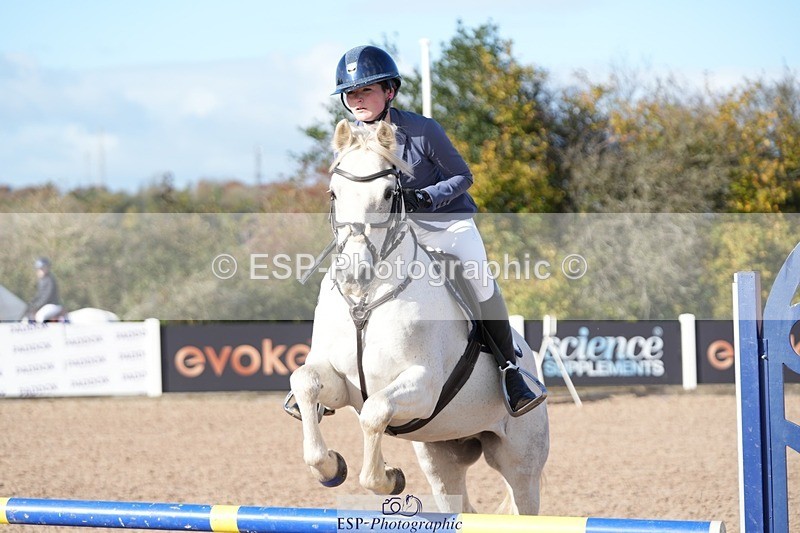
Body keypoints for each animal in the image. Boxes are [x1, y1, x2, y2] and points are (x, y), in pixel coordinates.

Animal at [288, 119, 549, 514]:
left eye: (387, 194)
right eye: (334, 193)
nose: (354, 273)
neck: (366, 302)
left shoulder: (423, 386)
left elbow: (375, 412)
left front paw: (388, 478)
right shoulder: (340, 382)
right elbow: (304, 381)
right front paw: (330, 468)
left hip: (521, 461)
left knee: (522, 499)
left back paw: (519, 388)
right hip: (441, 455)